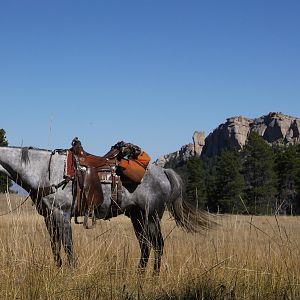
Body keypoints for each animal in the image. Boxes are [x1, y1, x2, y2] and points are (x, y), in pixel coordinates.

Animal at [0, 145, 216, 272]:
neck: (44, 170)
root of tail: (163, 171)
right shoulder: (49, 217)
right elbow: (55, 246)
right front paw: (58, 269)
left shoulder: (62, 214)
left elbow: (67, 245)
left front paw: (71, 272)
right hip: (137, 217)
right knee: (145, 245)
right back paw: (139, 274)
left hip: (151, 216)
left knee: (158, 245)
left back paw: (154, 275)